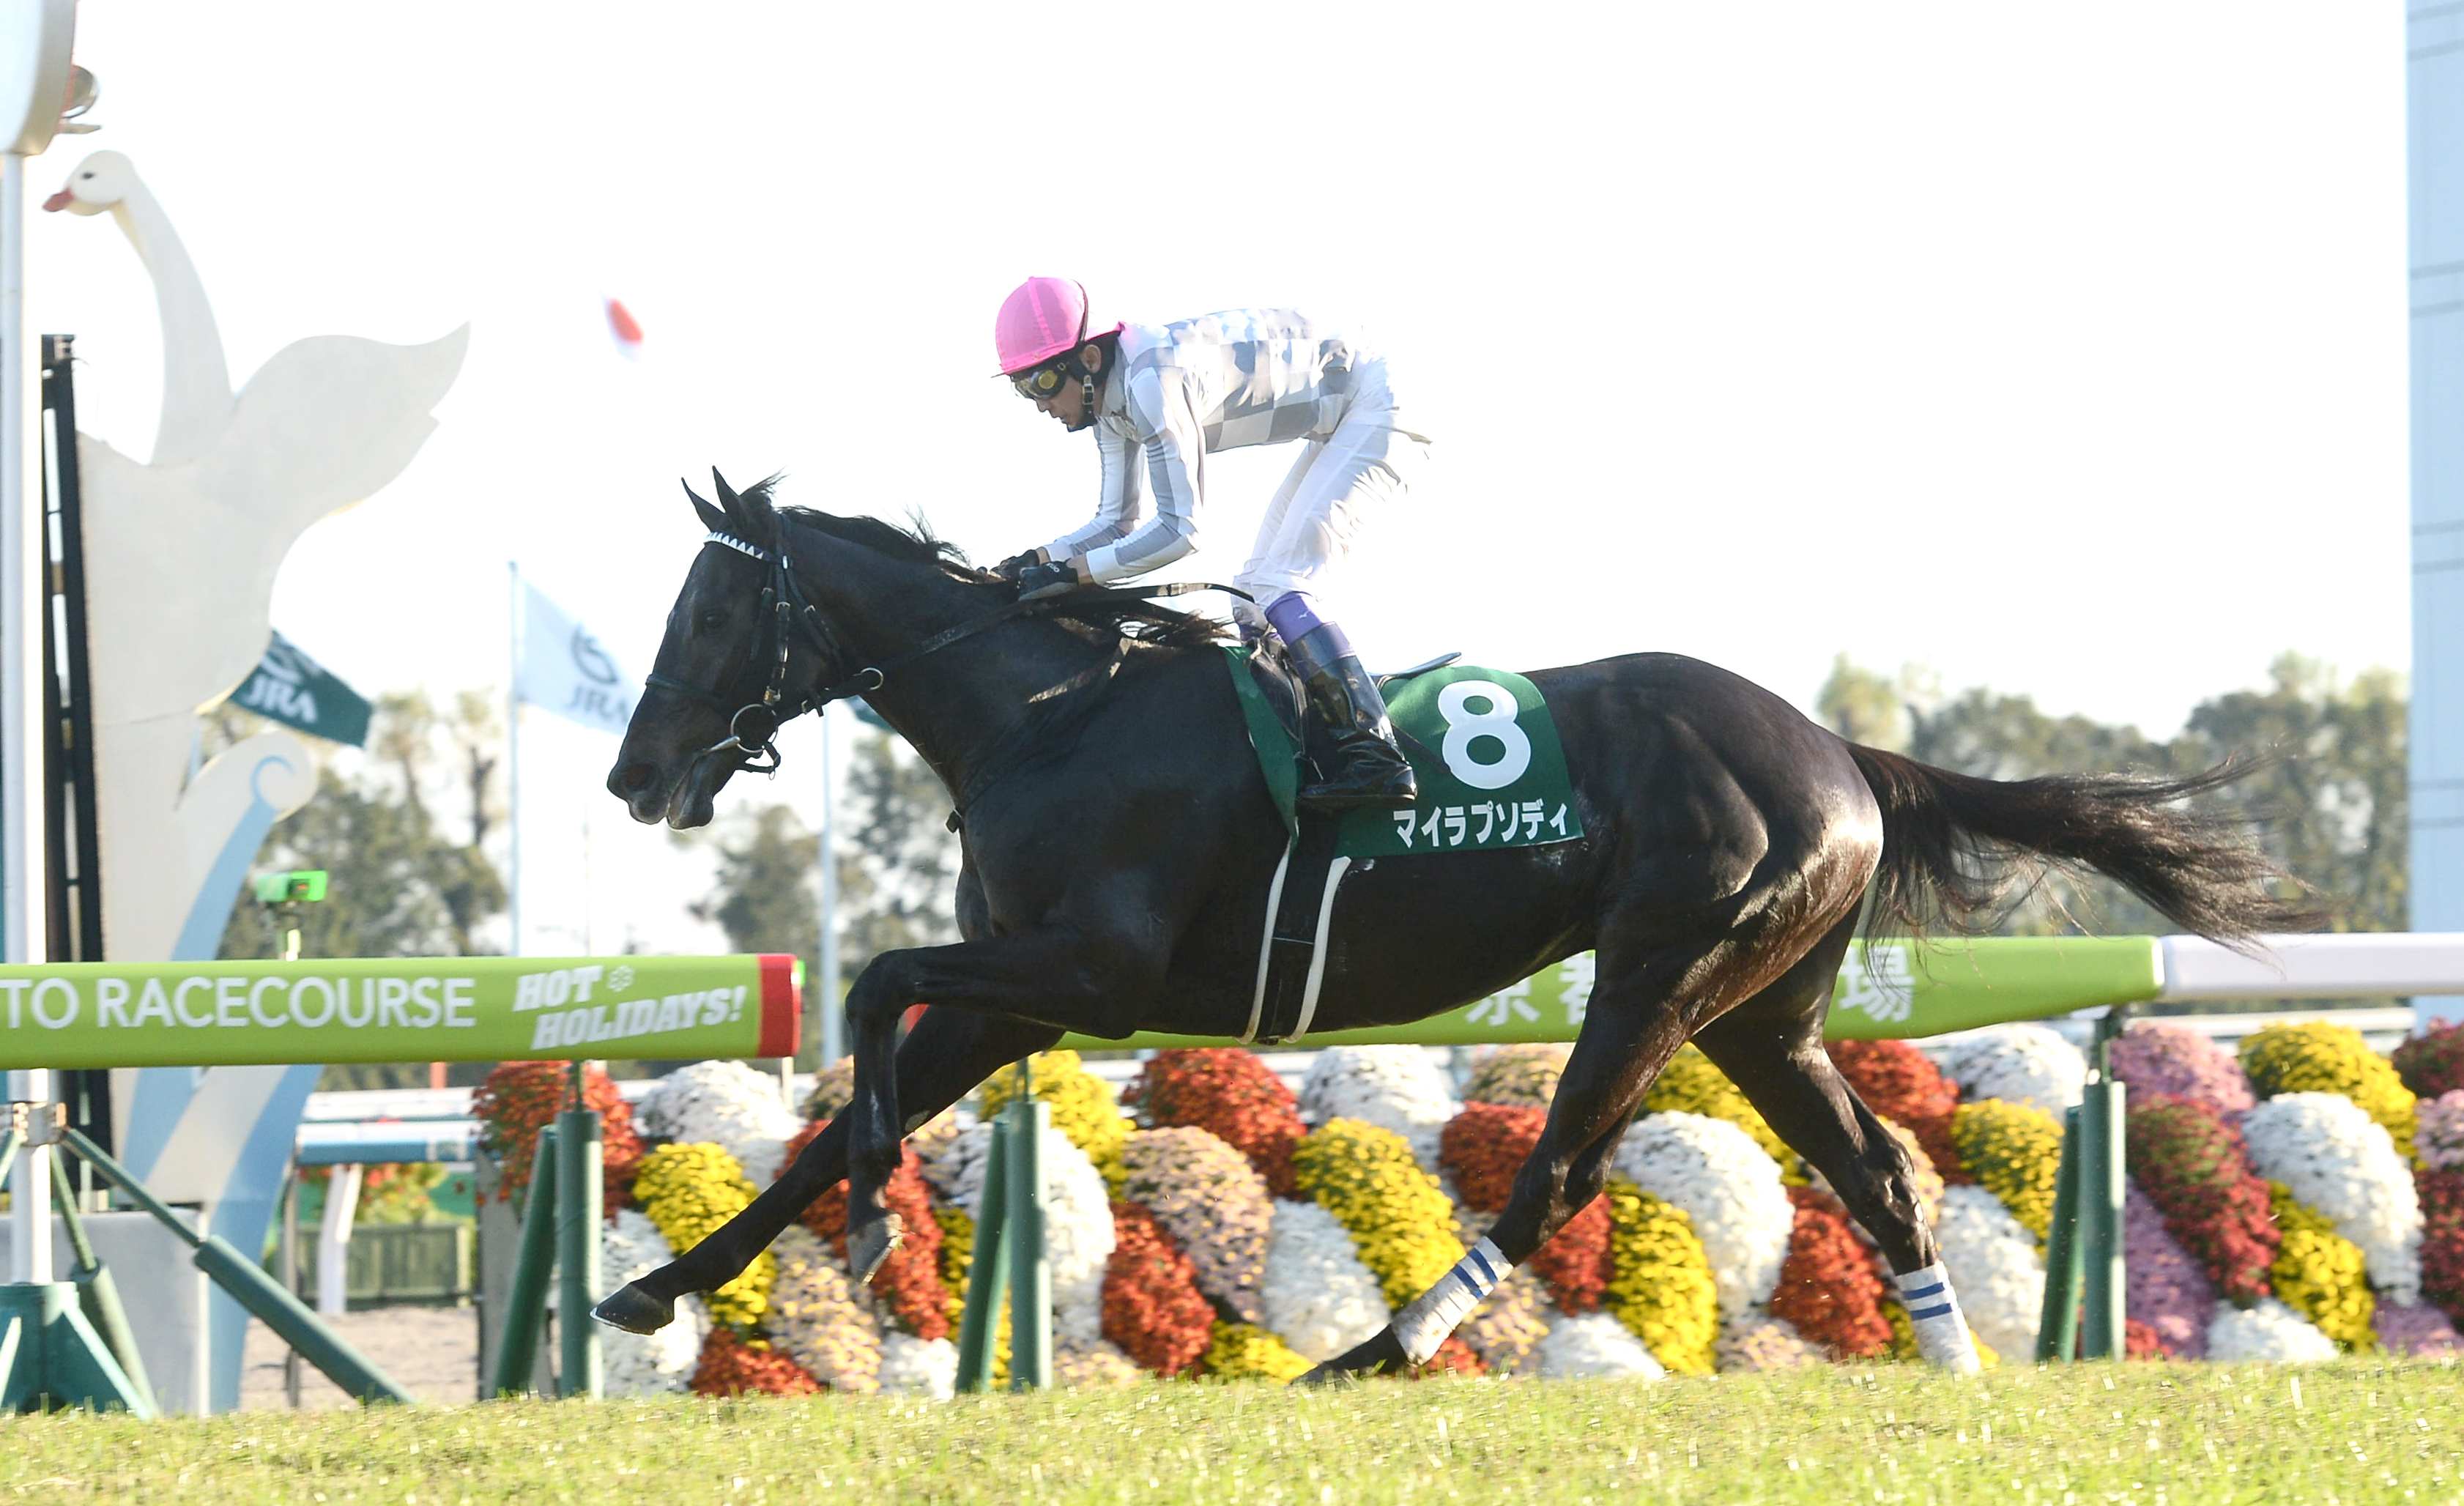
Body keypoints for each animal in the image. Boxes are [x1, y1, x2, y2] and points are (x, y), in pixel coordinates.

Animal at [594, 470, 2302, 1379]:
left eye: (708, 608)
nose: (630, 772)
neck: (1050, 713)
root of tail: (1834, 749)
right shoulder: (1017, 992)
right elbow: (835, 1100)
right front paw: (658, 1286)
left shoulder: (1091, 970)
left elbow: (871, 989)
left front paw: (877, 1213)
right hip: (1761, 1009)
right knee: (1875, 1172)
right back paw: (1956, 1370)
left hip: (1657, 970)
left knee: (1554, 1176)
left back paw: (1372, 1350)